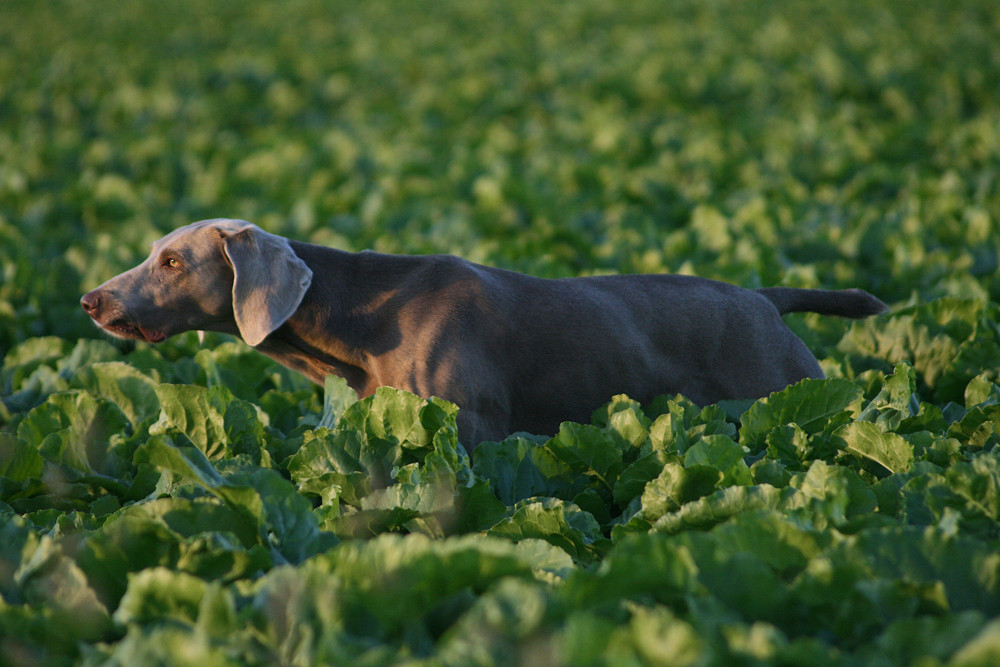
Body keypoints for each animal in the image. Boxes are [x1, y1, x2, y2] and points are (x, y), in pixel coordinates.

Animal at [82, 219, 888, 448]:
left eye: (173, 260)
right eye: (153, 250)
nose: (90, 299)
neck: (357, 316)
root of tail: (762, 297)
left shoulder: (471, 430)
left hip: (785, 394)